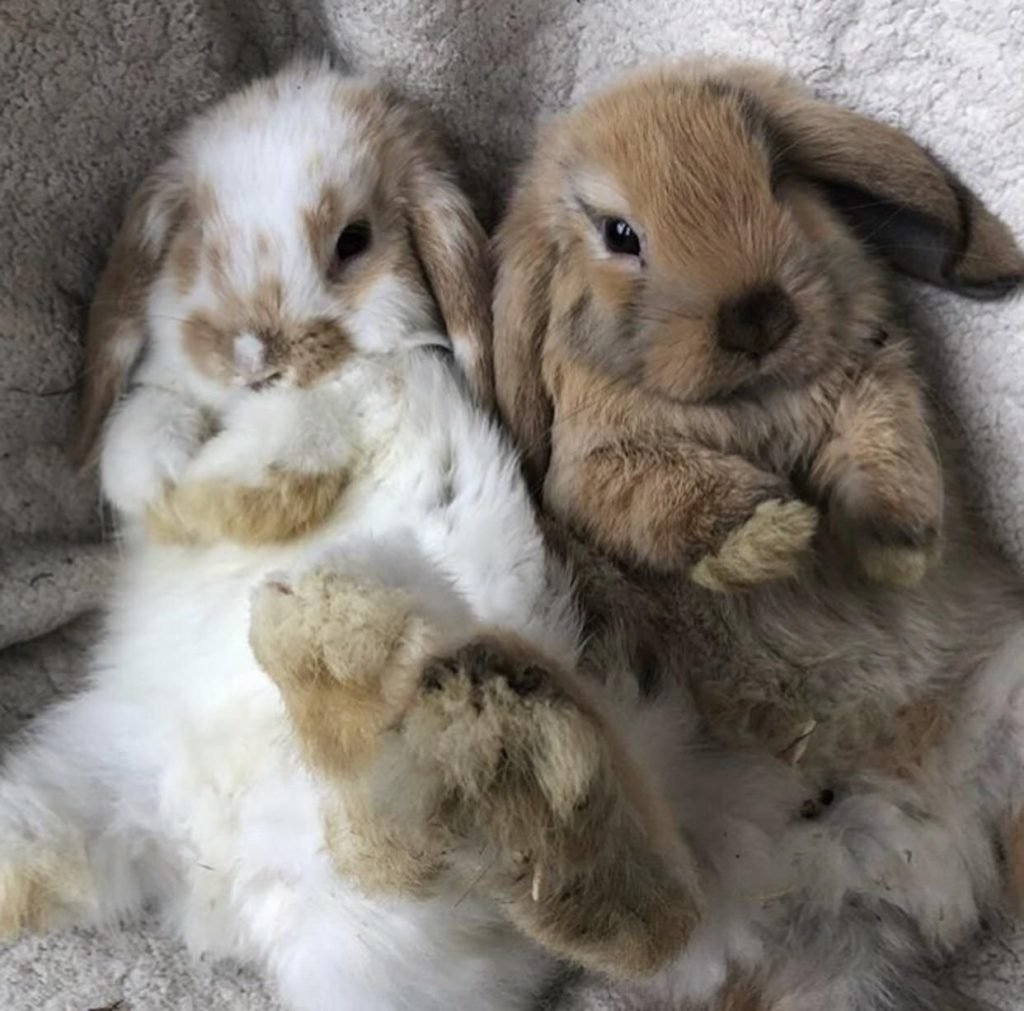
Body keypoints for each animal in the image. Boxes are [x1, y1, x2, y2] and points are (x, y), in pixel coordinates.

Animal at [0, 60, 698, 1011]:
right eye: (193, 244)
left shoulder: (360, 397)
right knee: (387, 839)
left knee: (637, 915)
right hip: (93, 780)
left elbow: (292, 440)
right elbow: (139, 430)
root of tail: (223, 885)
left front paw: (208, 501)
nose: (254, 355)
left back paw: (424, 696)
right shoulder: (167, 399)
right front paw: (165, 490)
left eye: (353, 241)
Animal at [492, 60, 1024, 1009]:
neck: (749, 402)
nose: (760, 315)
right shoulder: (604, 470)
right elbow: (669, 497)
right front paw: (773, 535)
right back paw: (531, 785)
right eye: (619, 233)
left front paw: (895, 547)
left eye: (777, 178)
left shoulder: (871, 376)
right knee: (645, 917)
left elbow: (886, 444)